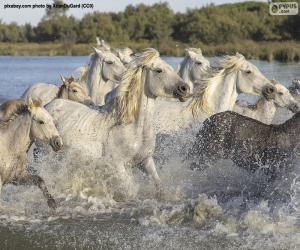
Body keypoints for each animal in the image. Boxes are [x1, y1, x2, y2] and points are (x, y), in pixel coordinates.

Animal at [45, 48, 190, 199]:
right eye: (159, 70)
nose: (185, 88)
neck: (133, 128)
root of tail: (49, 105)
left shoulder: (145, 160)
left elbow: (159, 185)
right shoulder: (117, 165)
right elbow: (130, 190)